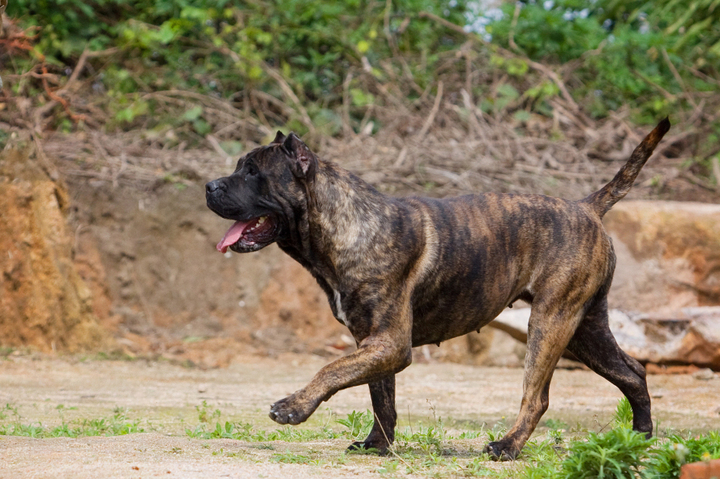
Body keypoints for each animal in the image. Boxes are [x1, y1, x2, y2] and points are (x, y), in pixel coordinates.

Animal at [205, 118, 672, 460]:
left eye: (253, 173)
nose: (210, 185)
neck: (343, 226)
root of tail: (586, 207)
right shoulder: (374, 341)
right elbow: (380, 396)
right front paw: (377, 445)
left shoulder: (388, 342)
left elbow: (332, 370)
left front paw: (293, 407)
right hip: (586, 328)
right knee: (633, 372)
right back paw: (639, 438)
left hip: (551, 323)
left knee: (536, 396)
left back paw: (507, 446)